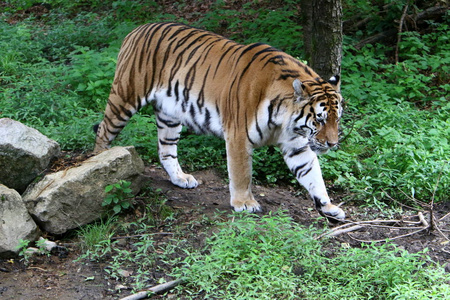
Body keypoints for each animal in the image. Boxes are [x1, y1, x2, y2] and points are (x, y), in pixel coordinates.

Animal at [95, 22, 346, 221]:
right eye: (320, 119)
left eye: (337, 119)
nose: (333, 144)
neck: (284, 119)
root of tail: (136, 30)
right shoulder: (238, 136)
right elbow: (242, 173)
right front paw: (245, 203)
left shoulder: (297, 145)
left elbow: (313, 175)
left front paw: (329, 206)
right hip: (124, 97)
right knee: (103, 132)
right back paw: (103, 167)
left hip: (169, 116)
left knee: (166, 150)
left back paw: (180, 178)